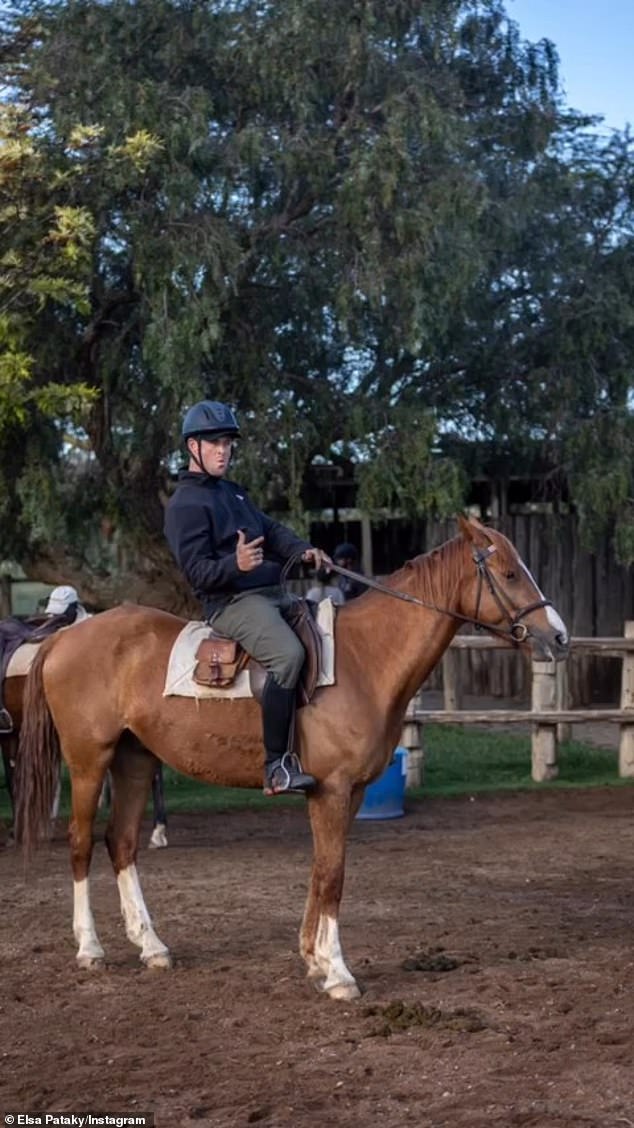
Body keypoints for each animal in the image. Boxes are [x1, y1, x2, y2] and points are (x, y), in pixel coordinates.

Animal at [16, 516, 568, 1001]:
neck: (365, 658)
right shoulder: (333, 789)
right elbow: (333, 875)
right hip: (89, 760)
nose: (559, 636)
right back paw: (90, 948)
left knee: (122, 843)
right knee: (82, 843)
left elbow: (322, 870)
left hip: (135, 760)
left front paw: (314, 959)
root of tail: (65, 636)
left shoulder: (348, 793)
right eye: (510, 573)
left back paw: (151, 946)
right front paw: (339, 973)